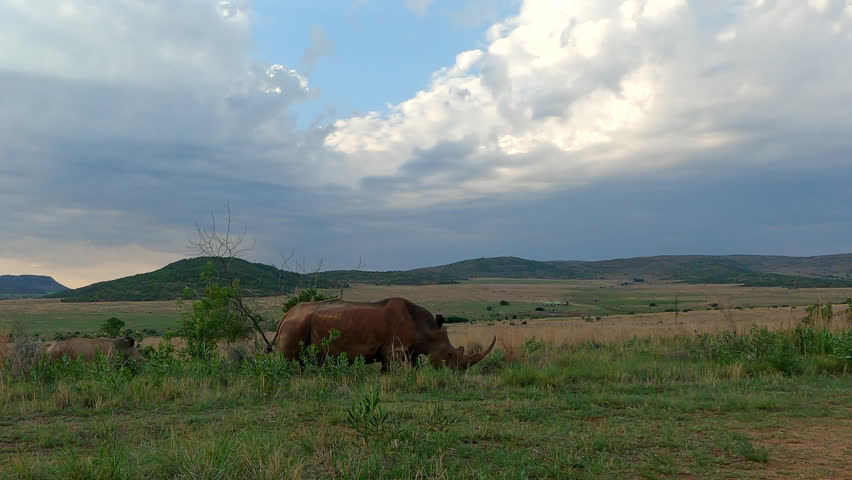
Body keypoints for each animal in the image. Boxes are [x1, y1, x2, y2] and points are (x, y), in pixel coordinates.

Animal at [269, 297, 495, 370]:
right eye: (449, 354)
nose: (458, 372)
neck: (426, 329)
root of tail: (286, 314)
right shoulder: (395, 349)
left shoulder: (405, 350)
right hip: (295, 324)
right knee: (289, 357)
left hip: (297, 322)